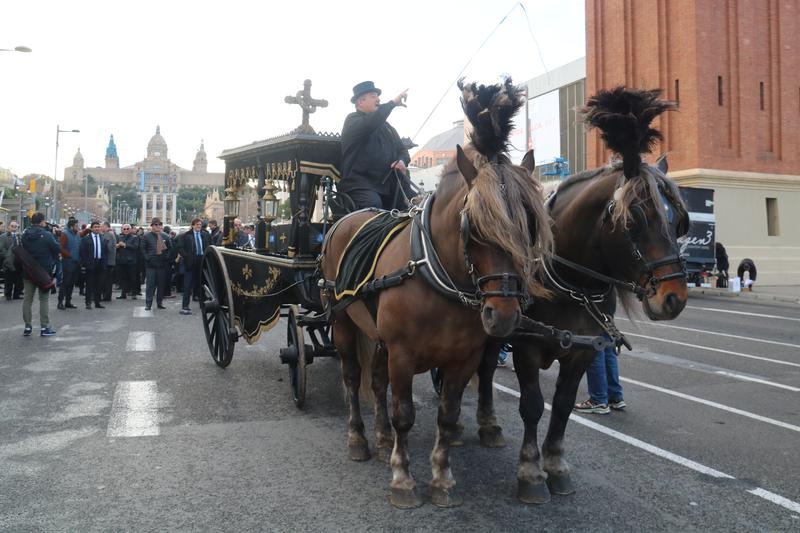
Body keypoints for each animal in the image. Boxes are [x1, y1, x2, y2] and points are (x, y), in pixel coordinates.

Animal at [318, 79, 552, 508]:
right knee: (352, 376)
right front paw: (402, 478)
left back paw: (380, 438)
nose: (504, 314)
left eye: (530, 223)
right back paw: (359, 438)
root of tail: (343, 219)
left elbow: (446, 414)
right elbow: (404, 413)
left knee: (375, 381)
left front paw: (442, 479)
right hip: (342, 321)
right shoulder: (403, 353)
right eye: (474, 225)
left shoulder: (463, 358)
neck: (438, 277)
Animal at [472, 86, 692, 502]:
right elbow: (531, 405)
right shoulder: (525, 347)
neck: (571, 281)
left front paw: (556, 467)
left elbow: (560, 407)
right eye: (635, 217)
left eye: (678, 221)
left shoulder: (583, 351)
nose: (673, 297)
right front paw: (531, 473)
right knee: (485, 367)